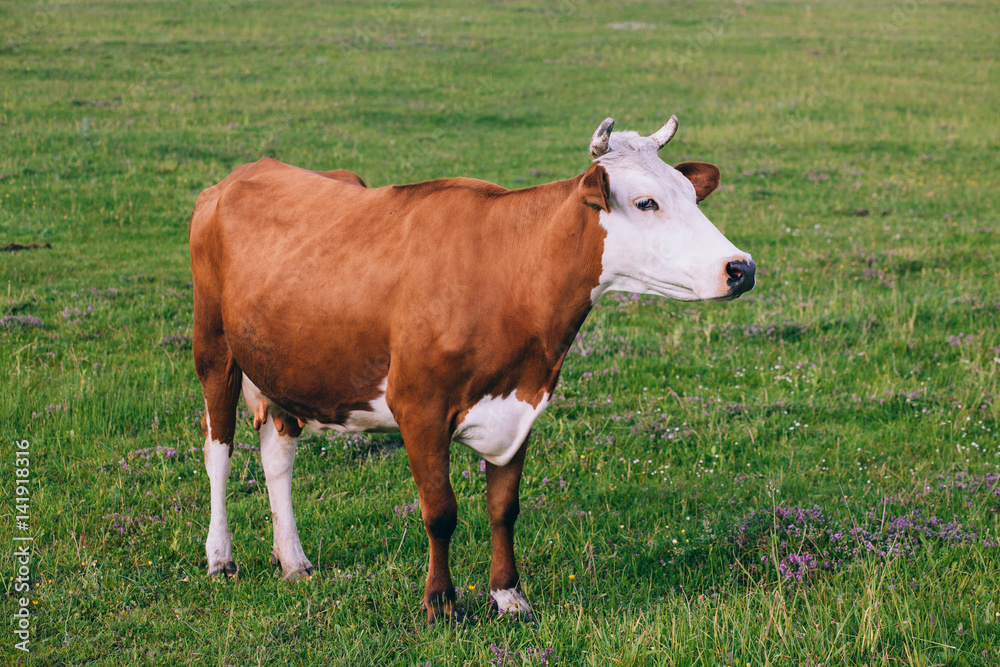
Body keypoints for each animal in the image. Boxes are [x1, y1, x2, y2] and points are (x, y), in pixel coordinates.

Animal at [188, 115, 752, 620]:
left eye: (692, 194)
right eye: (645, 201)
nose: (741, 267)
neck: (509, 274)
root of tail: (244, 172)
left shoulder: (520, 403)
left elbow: (504, 508)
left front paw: (509, 596)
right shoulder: (419, 406)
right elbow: (440, 512)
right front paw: (440, 603)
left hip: (282, 363)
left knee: (277, 455)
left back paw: (294, 561)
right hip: (214, 347)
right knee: (218, 449)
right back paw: (220, 558)